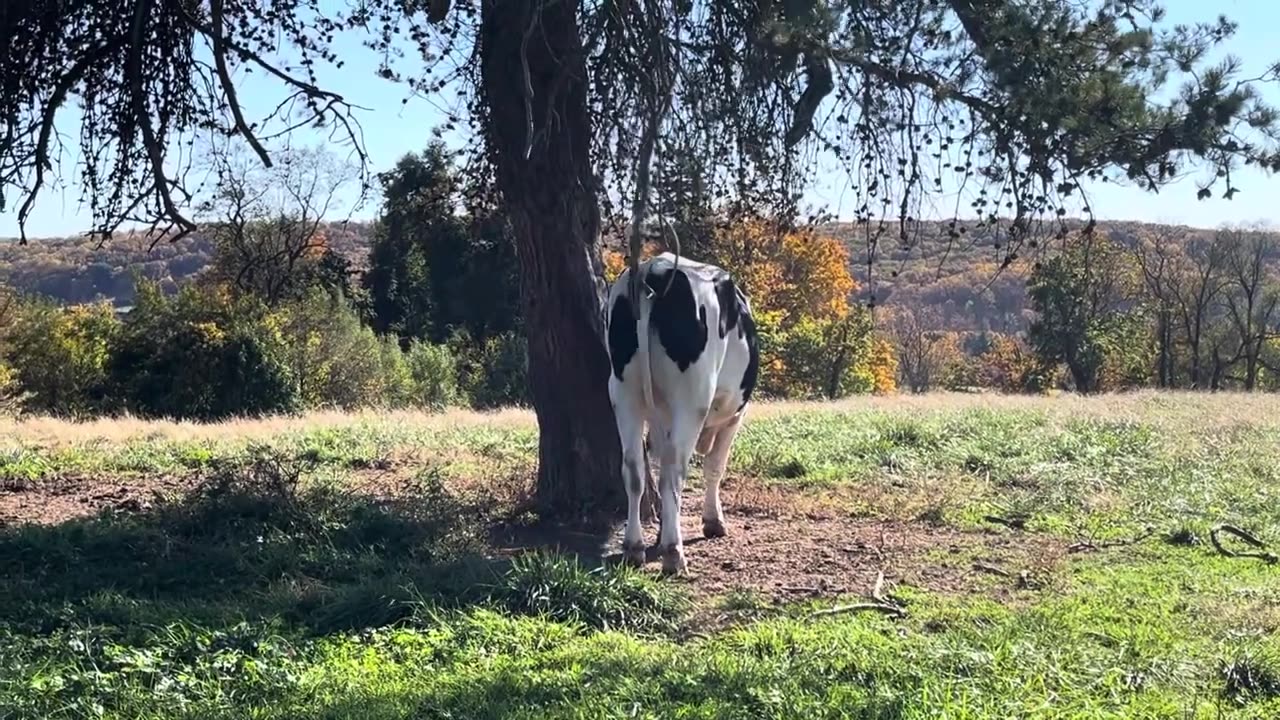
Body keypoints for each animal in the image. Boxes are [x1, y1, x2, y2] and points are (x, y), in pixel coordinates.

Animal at [601, 249, 752, 573]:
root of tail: (655, 269)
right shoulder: (735, 416)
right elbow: (714, 466)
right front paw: (713, 521)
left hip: (623, 391)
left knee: (634, 467)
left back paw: (634, 547)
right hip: (692, 398)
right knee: (674, 471)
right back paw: (673, 553)